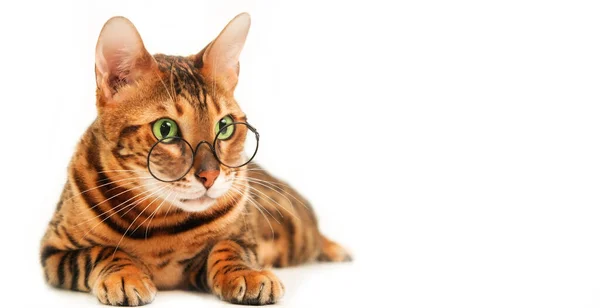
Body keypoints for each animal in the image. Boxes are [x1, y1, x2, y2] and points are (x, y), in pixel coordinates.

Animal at [39, 12, 350, 306]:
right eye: (165, 129)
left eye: (225, 126)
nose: (210, 176)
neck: (158, 225)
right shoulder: (51, 253)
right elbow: (100, 252)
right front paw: (126, 274)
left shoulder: (238, 242)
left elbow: (227, 248)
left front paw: (246, 273)